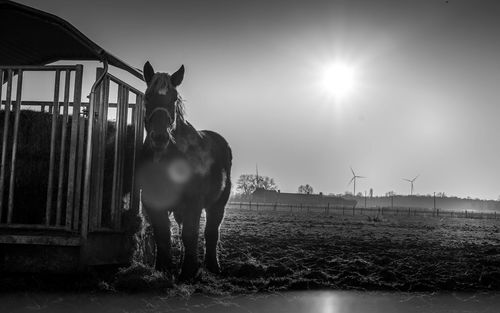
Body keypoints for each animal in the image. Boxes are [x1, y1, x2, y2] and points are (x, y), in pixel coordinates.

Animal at [138, 61, 233, 280]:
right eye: (148, 96)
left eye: (173, 98)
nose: (160, 137)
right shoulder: (153, 201)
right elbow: (163, 234)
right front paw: (162, 268)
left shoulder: (193, 201)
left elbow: (190, 234)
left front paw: (189, 271)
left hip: (217, 204)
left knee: (211, 232)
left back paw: (212, 266)